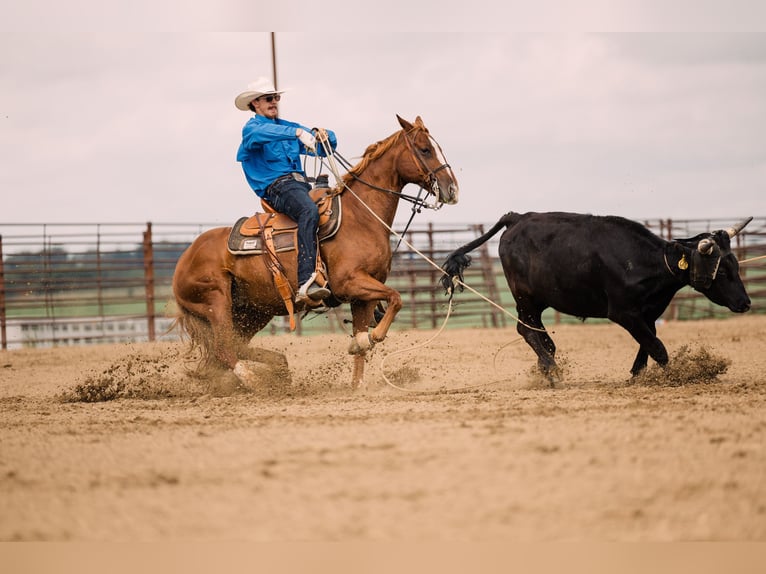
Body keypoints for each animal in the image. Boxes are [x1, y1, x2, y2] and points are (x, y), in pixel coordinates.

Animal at [172, 115, 459, 389]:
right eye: (424, 149)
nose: (452, 189)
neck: (360, 217)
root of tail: (182, 261)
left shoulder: (364, 294)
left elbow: (363, 337)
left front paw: (358, 381)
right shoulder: (350, 282)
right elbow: (396, 298)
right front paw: (373, 337)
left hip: (253, 311)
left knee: (233, 347)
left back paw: (278, 369)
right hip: (216, 302)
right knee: (224, 348)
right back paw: (255, 382)